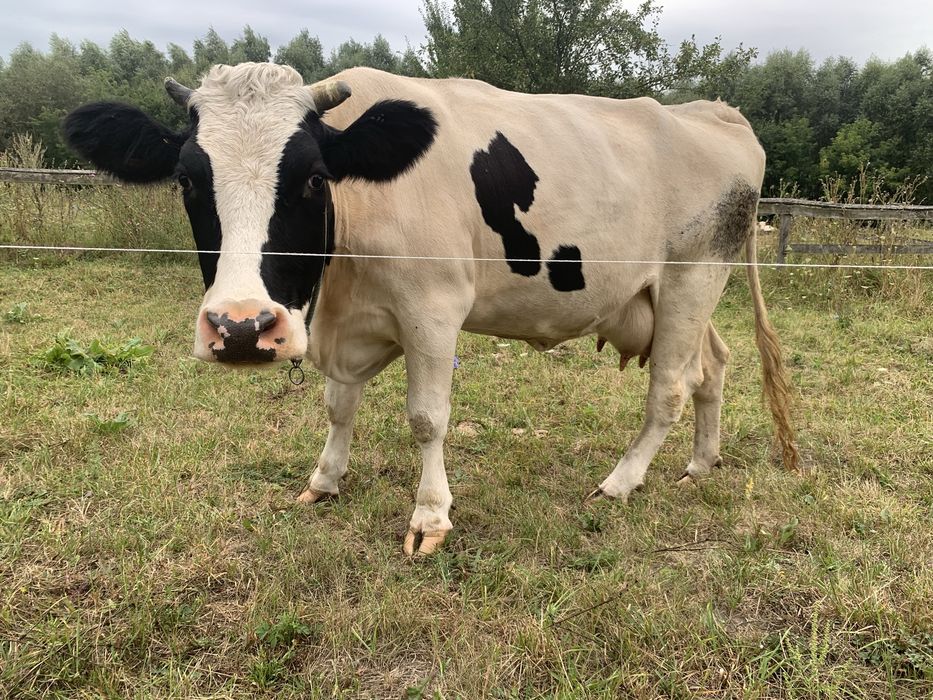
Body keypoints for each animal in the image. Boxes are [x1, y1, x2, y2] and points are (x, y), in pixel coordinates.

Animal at [64, 63, 798, 555]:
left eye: (313, 178)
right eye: (187, 180)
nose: (241, 327)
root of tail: (716, 112)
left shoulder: (433, 309)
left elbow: (426, 418)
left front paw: (430, 516)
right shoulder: (352, 323)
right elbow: (339, 406)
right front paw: (325, 480)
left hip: (692, 278)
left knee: (669, 386)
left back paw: (621, 480)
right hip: (669, 296)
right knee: (713, 367)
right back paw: (700, 464)